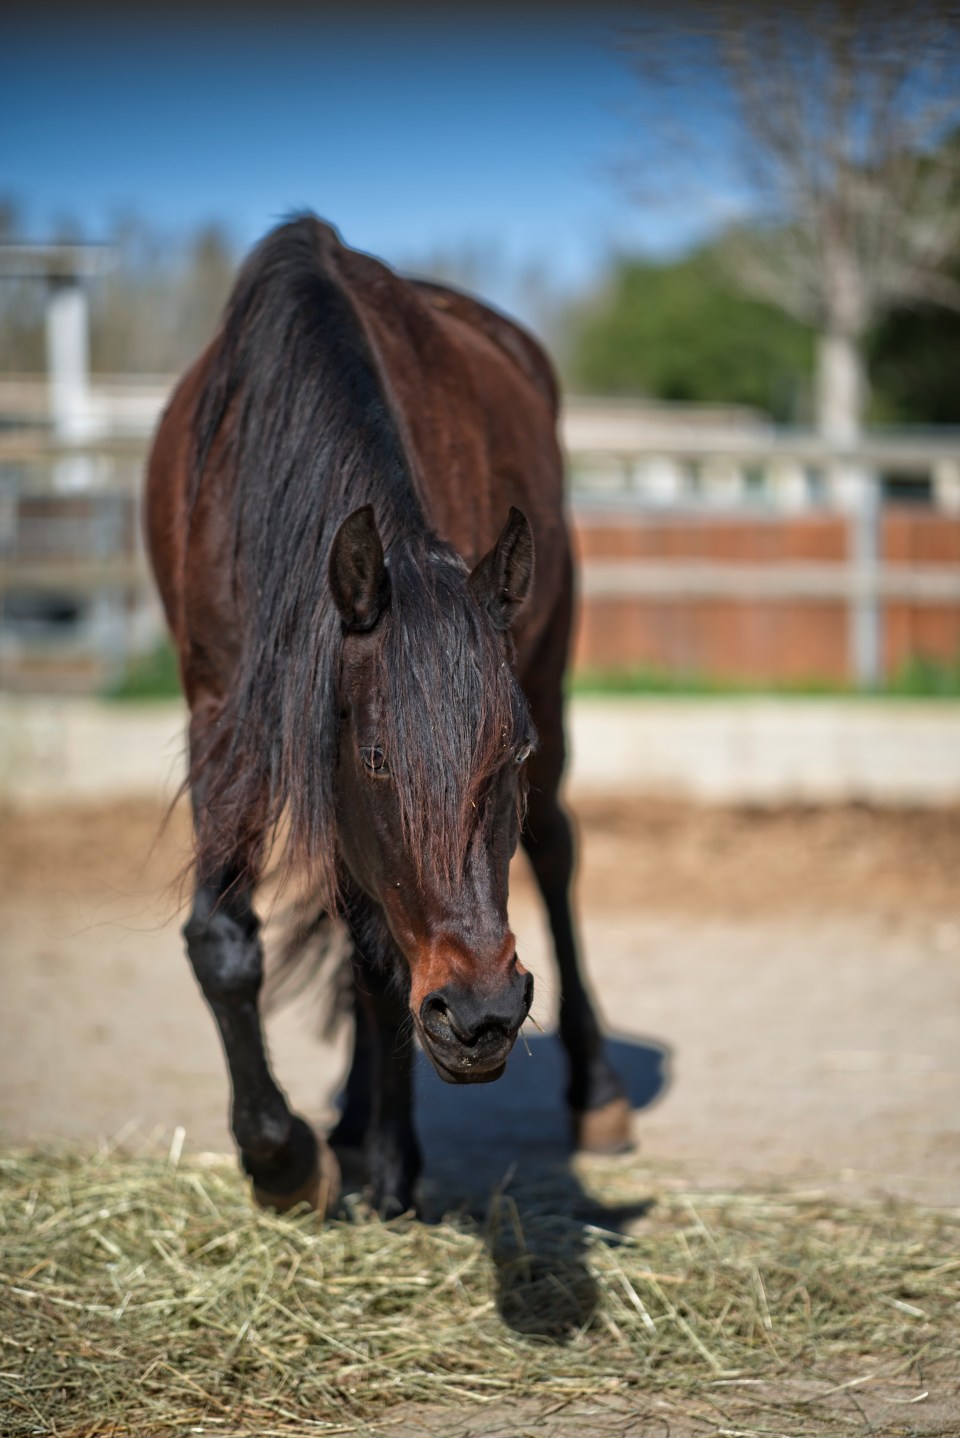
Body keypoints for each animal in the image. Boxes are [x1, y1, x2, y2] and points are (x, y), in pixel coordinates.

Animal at [145, 214, 630, 1216]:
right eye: (374, 759)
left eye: (512, 756)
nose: (483, 1017)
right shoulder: (220, 719)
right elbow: (226, 943)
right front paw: (286, 1157)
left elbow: (379, 957)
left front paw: (387, 1163)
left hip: (548, 662)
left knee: (555, 853)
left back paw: (595, 1094)